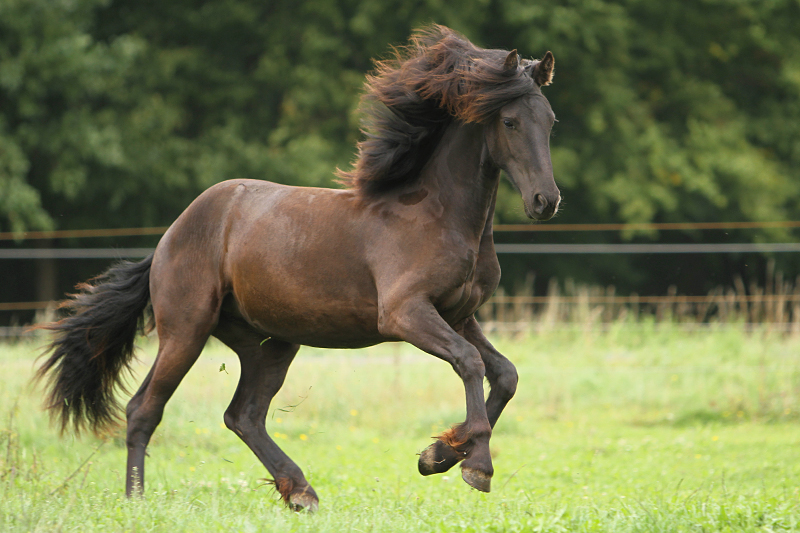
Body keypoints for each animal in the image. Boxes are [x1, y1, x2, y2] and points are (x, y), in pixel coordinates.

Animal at [37, 26, 560, 512]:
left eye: (550, 121)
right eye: (510, 121)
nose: (546, 201)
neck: (439, 214)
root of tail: (169, 237)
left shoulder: (459, 314)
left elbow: (505, 374)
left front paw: (437, 455)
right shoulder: (405, 313)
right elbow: (470, 362)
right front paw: (474, 465)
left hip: (269, 342)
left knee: (243, 415)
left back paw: (300, 492)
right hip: (186, 330)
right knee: (144, 408)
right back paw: (137, 500)